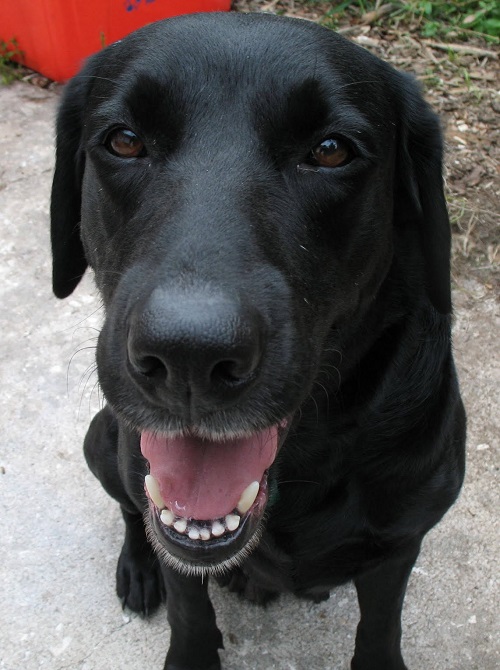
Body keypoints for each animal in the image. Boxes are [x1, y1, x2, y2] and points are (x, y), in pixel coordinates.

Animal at [49, 11, 464, 670]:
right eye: (124, 141)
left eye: (331, 150)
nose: (189, 356)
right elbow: (188, 606)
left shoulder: (400, 541)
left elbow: (381, 626)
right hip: (102, 441)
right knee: (132, 511)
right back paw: (139, 568)